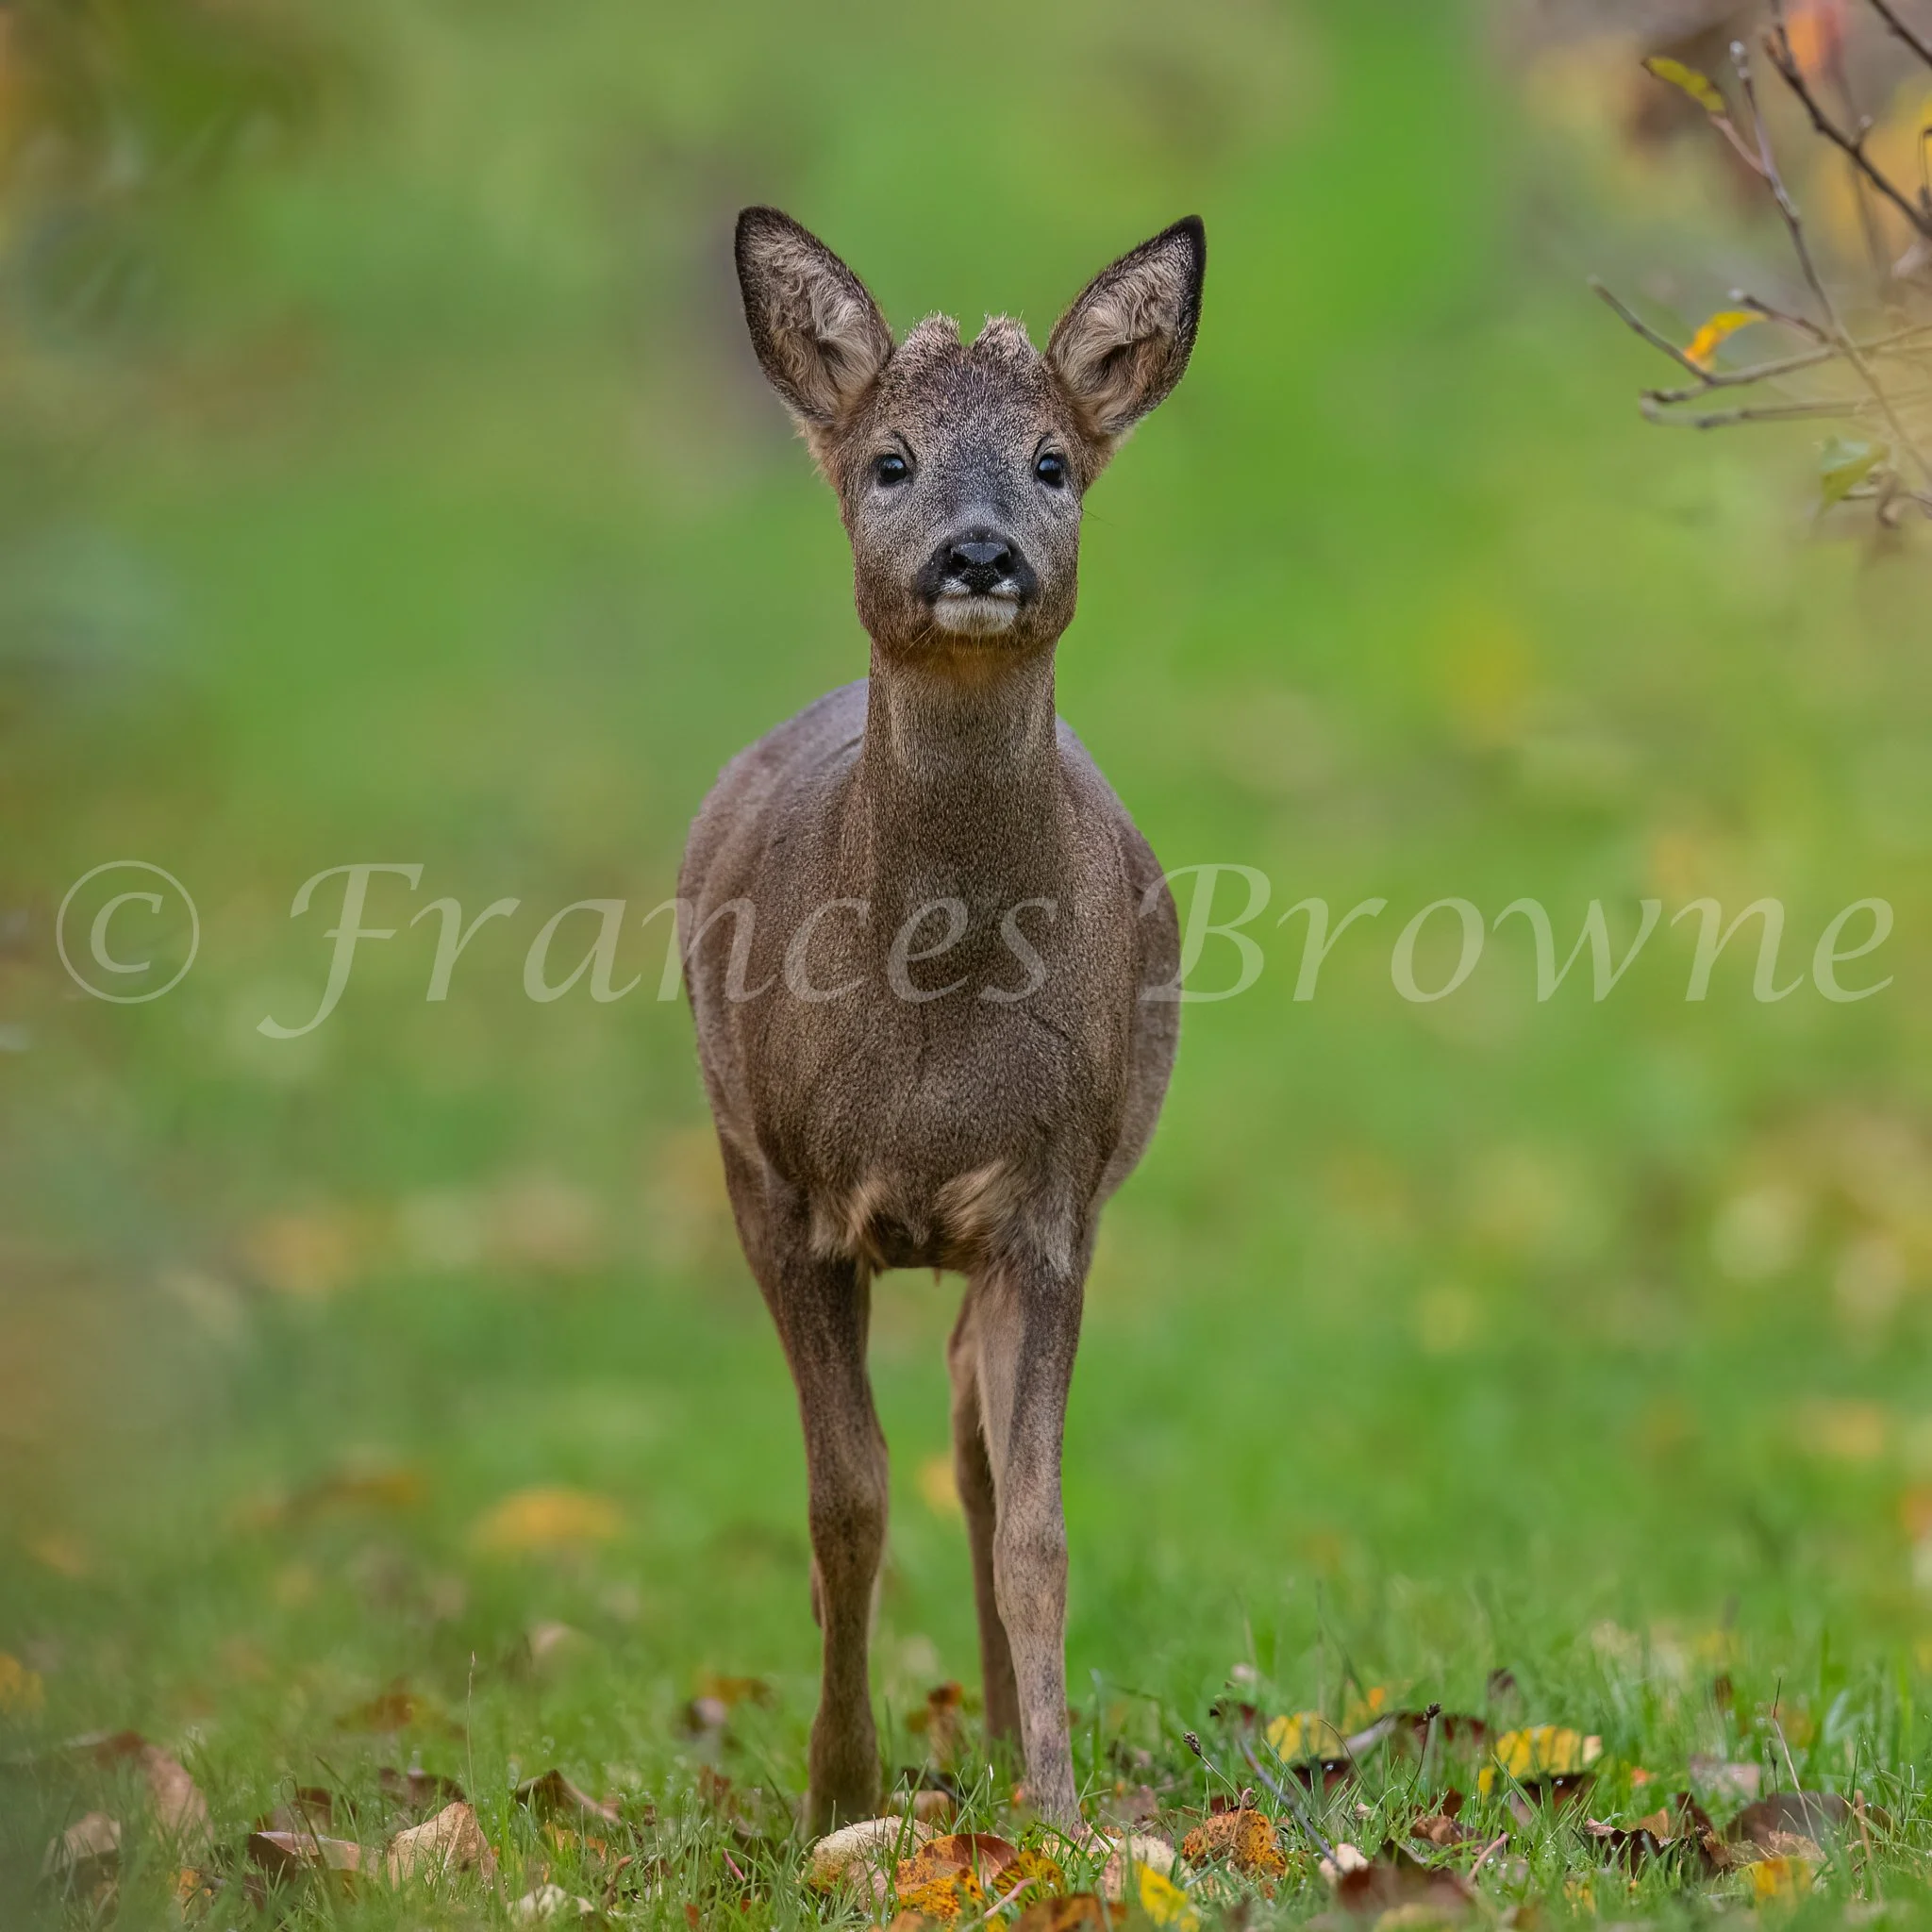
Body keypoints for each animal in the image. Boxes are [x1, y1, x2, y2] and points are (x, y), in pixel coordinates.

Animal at [679, 205, 1204, 1836]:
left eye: (1053, 461)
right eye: (891, 460)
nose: (980, 554)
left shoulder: (1049, 1197)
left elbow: (1036, 1522)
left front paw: (1061, 1809)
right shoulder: (777, 1185)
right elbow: (843, 1499)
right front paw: (837, 1793)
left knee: (974, 1440)